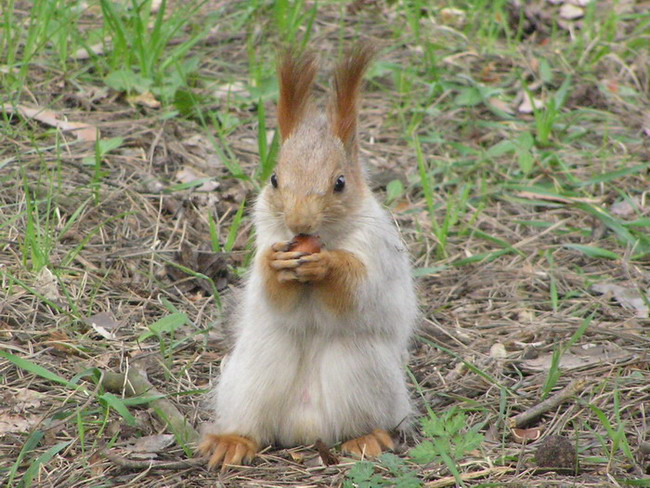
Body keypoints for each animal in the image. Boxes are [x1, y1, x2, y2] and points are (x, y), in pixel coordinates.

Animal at [199, 44, 418, 470]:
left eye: (340, 183)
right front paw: (275, 267)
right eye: (274, 179)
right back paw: (233, 441)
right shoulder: (266, 236)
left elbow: (363, 291)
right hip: (253, 370)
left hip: (361, 366)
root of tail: (304, 428)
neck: (326, 238)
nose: (299, 222)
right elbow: (270, 293)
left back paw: (366, 437)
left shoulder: (378, 250)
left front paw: (328, 266)